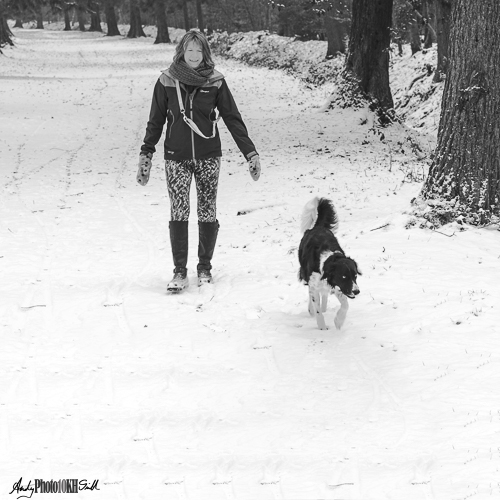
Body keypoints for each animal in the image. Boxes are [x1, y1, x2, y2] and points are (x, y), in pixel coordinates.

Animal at [298, 197, 362, 330]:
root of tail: (317, 226)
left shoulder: (338, 285)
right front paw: (322, 328)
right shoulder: (317, 283)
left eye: (355, 276)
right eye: (344, 277)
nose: (356, 291)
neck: (328, 260)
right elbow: (317, 308)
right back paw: (312, 309)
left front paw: (338, 321)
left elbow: (345, 305)